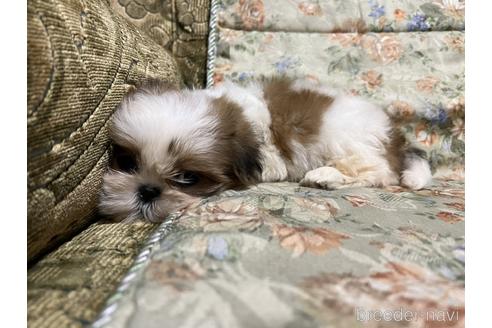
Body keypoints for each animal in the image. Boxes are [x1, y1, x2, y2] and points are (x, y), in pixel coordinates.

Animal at [100, 78, 430, 222]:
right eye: (127, 163)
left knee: (378, 172)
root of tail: (395, 135)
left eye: (187, 178)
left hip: (349, 141)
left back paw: (326, 176)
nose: (147, 190)